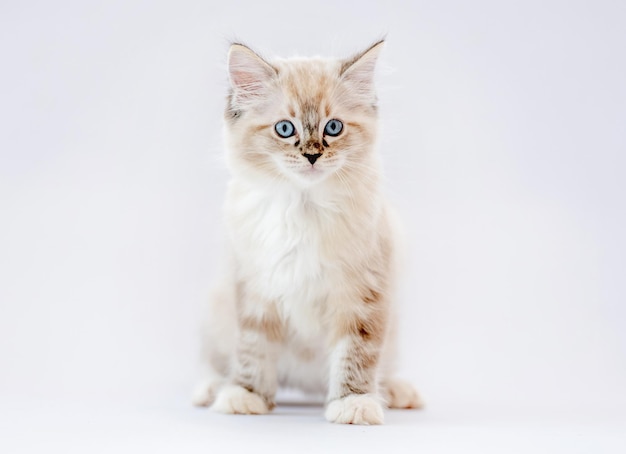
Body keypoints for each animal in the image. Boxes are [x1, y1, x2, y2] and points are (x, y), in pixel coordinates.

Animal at [193, 40, 422, 424]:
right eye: (286, 129)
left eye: (333, 127)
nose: (312, 156)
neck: (302, 207)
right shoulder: (255, 292)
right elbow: (253, 351)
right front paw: (246, 396)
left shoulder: (362, 295)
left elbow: (356, 355)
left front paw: (353, 403)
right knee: (217, 364)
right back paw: (213, 389)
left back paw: (394, 392)